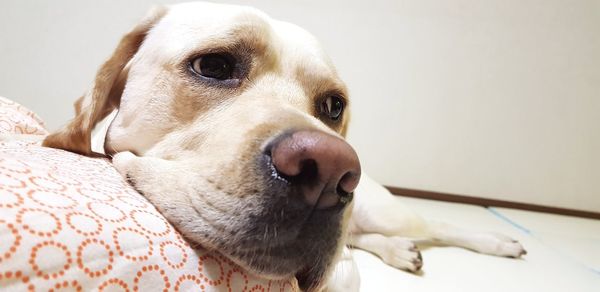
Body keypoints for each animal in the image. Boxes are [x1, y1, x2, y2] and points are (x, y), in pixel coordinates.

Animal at [34, 1, 524, 290]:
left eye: (333, 106)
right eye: (213, 65)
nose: (330, 171)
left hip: (384, 211)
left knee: (438, 226)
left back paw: (497, 241)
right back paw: (401, 251)